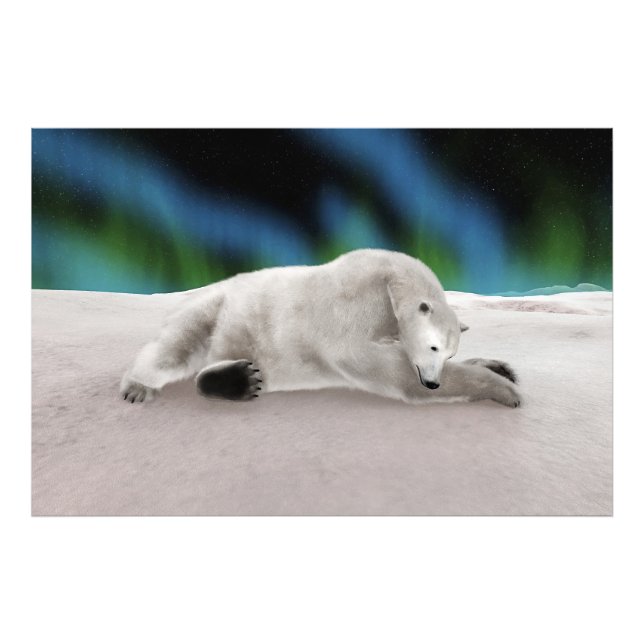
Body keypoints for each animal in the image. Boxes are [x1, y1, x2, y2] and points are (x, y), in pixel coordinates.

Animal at [120, 249, 521, 407]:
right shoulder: (353, 308)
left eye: (449, 352)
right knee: (174, 349)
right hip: (213, 307)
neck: (390, 282)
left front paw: (501, 367)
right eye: (434, 347)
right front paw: (505, 390)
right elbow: (390, 371)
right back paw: (139, 386)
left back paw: (239, 378)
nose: (433, 382)